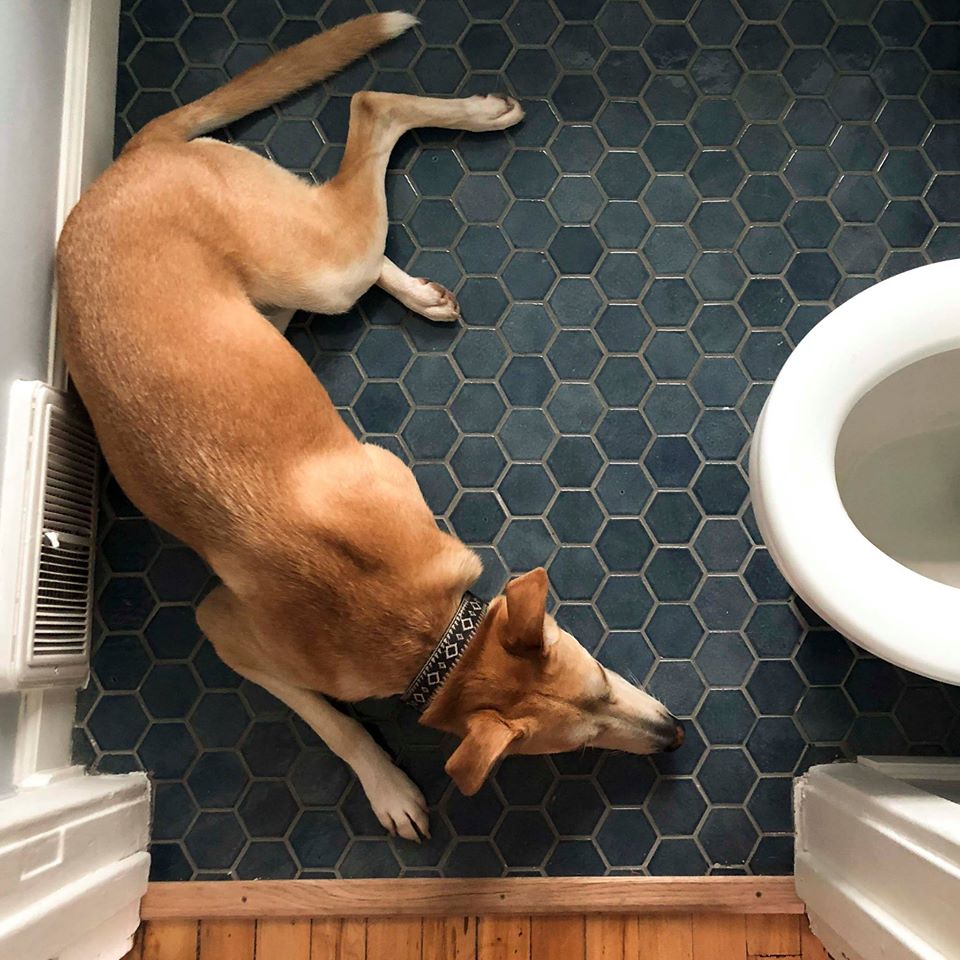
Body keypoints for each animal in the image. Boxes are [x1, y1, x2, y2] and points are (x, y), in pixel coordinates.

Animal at [56, 13, 684, 840]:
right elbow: (334, 722)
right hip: (301, 284)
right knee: (364, 137)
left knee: (364, 135)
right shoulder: (226, 629)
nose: (675, 736)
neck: (422, 632)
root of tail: (126, 164)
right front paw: (386, 785)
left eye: (605, 683)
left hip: (309, 274)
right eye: (584, 730)